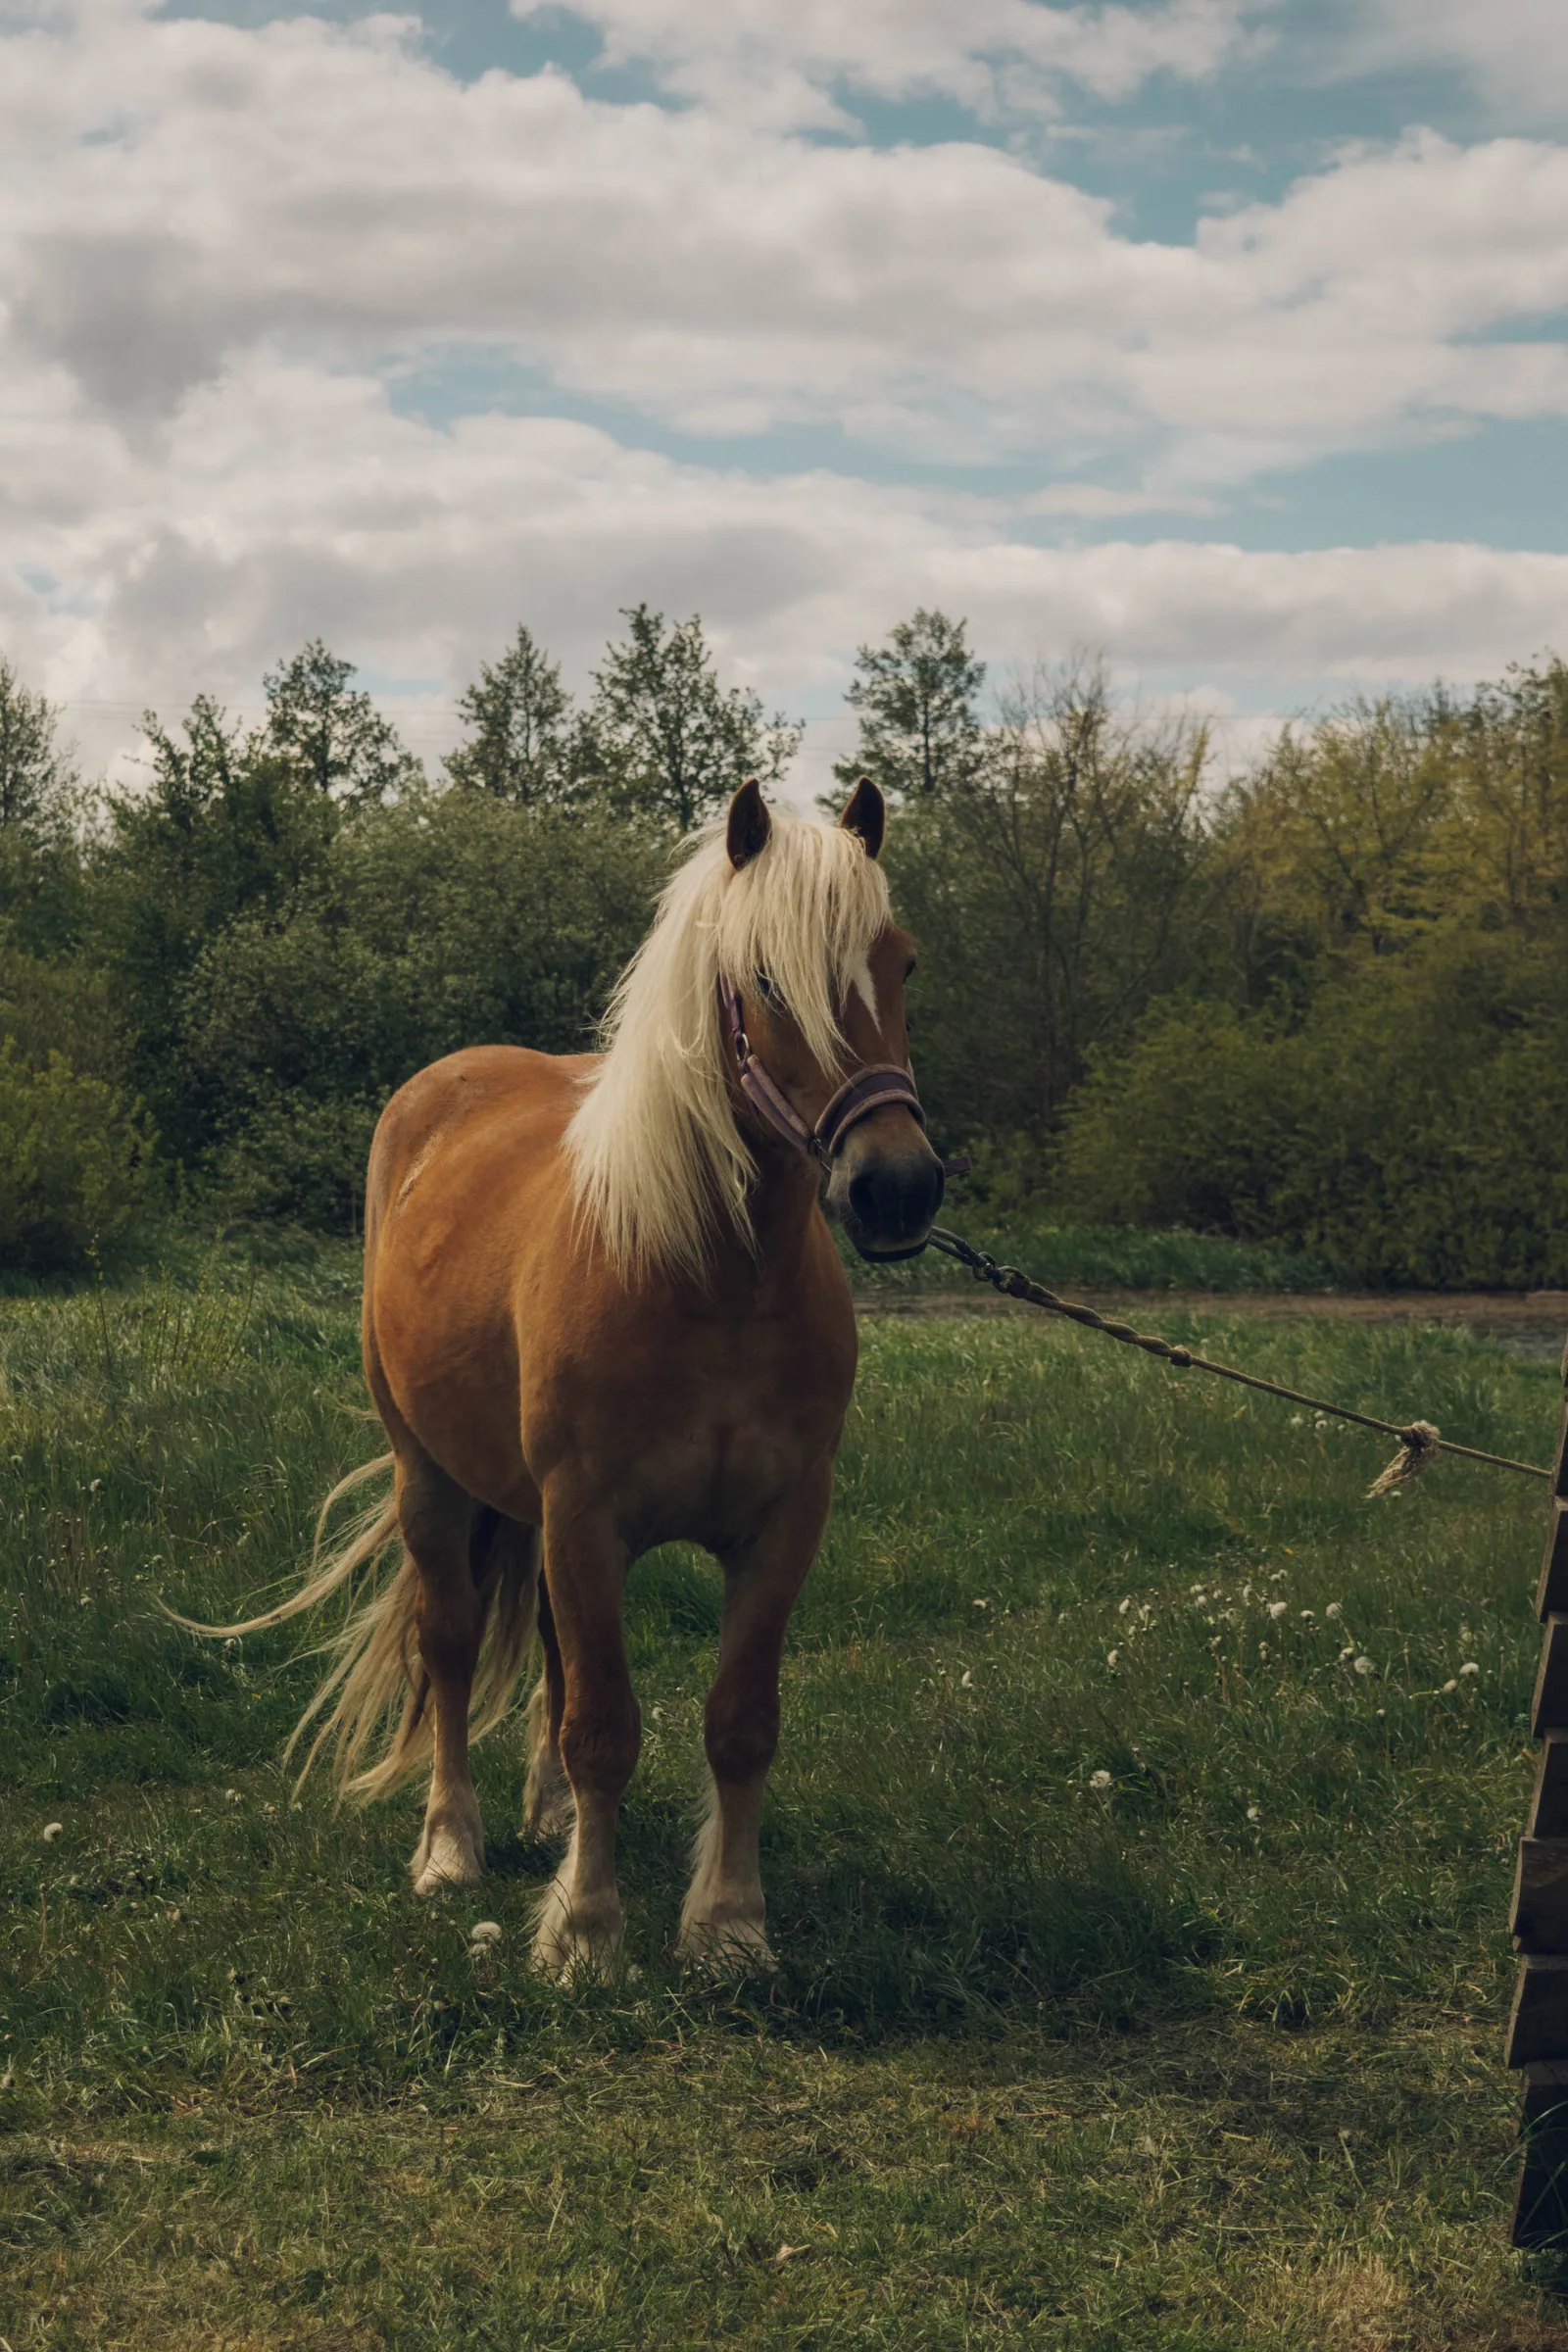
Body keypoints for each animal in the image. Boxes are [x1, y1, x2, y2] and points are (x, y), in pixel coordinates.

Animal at [197, 775, 943, 1976]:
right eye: (765, 980)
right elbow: (603, 1727)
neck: (713, 1282)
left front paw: (728, 1926)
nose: (898, 1188)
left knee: (548, 1649)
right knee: (452, 1650)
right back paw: (451, 1846)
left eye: (901, 963)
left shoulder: (783, 1522)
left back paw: (547, 1817)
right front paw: (587, 1933)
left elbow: (739, 1723)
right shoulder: (584, 1517)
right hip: (430, 1481)